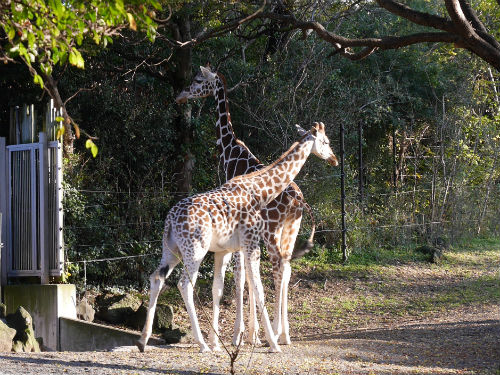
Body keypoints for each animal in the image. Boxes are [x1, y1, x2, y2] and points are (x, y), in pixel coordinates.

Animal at [138, 122, 340, 354]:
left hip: (171, 249)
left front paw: (235, 339)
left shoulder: (226, 250)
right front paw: (269, 343)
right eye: (326, 141)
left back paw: (143, 340)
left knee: (157, 277)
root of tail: (170, 220)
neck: (260, 192)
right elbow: (258, 288)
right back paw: (203, 344)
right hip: (195, 250)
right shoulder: (251, 243)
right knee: (185, 284)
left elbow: (227, 287)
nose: (334, 159)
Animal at [174, 65, 326, 350]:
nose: (180, 95)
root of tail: (299, 201)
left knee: (278, 269)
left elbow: (239, 278)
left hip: (272, 232)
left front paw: (240, 335)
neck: (229, 151)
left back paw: (275, 333)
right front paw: (250, 334)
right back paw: (284, 334)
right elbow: (246, 277)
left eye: (198, 80)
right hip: (290, 230)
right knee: (286, 269)